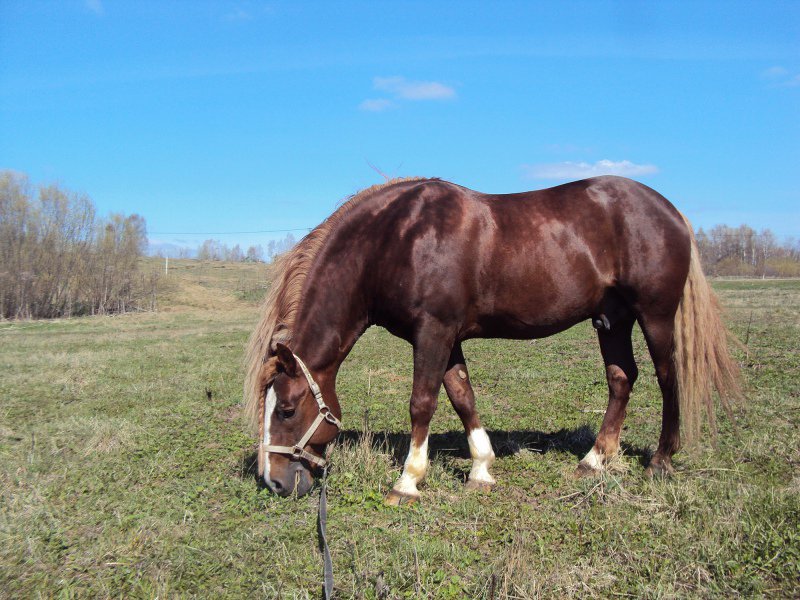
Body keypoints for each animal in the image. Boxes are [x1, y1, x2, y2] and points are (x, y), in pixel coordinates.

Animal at [245, 175, 744, 502]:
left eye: (286, 409)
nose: (275, 482)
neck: (396, 239)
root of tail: (669, 210)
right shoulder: (446, 337)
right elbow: (461, 395)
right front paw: (481, 468)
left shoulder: (433, 332)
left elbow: (422, 401)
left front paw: (408, 481)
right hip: (612, 320)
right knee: (622, 379)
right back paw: (594, 460)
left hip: (654, 316)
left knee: (667, 377)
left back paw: (661, 460)